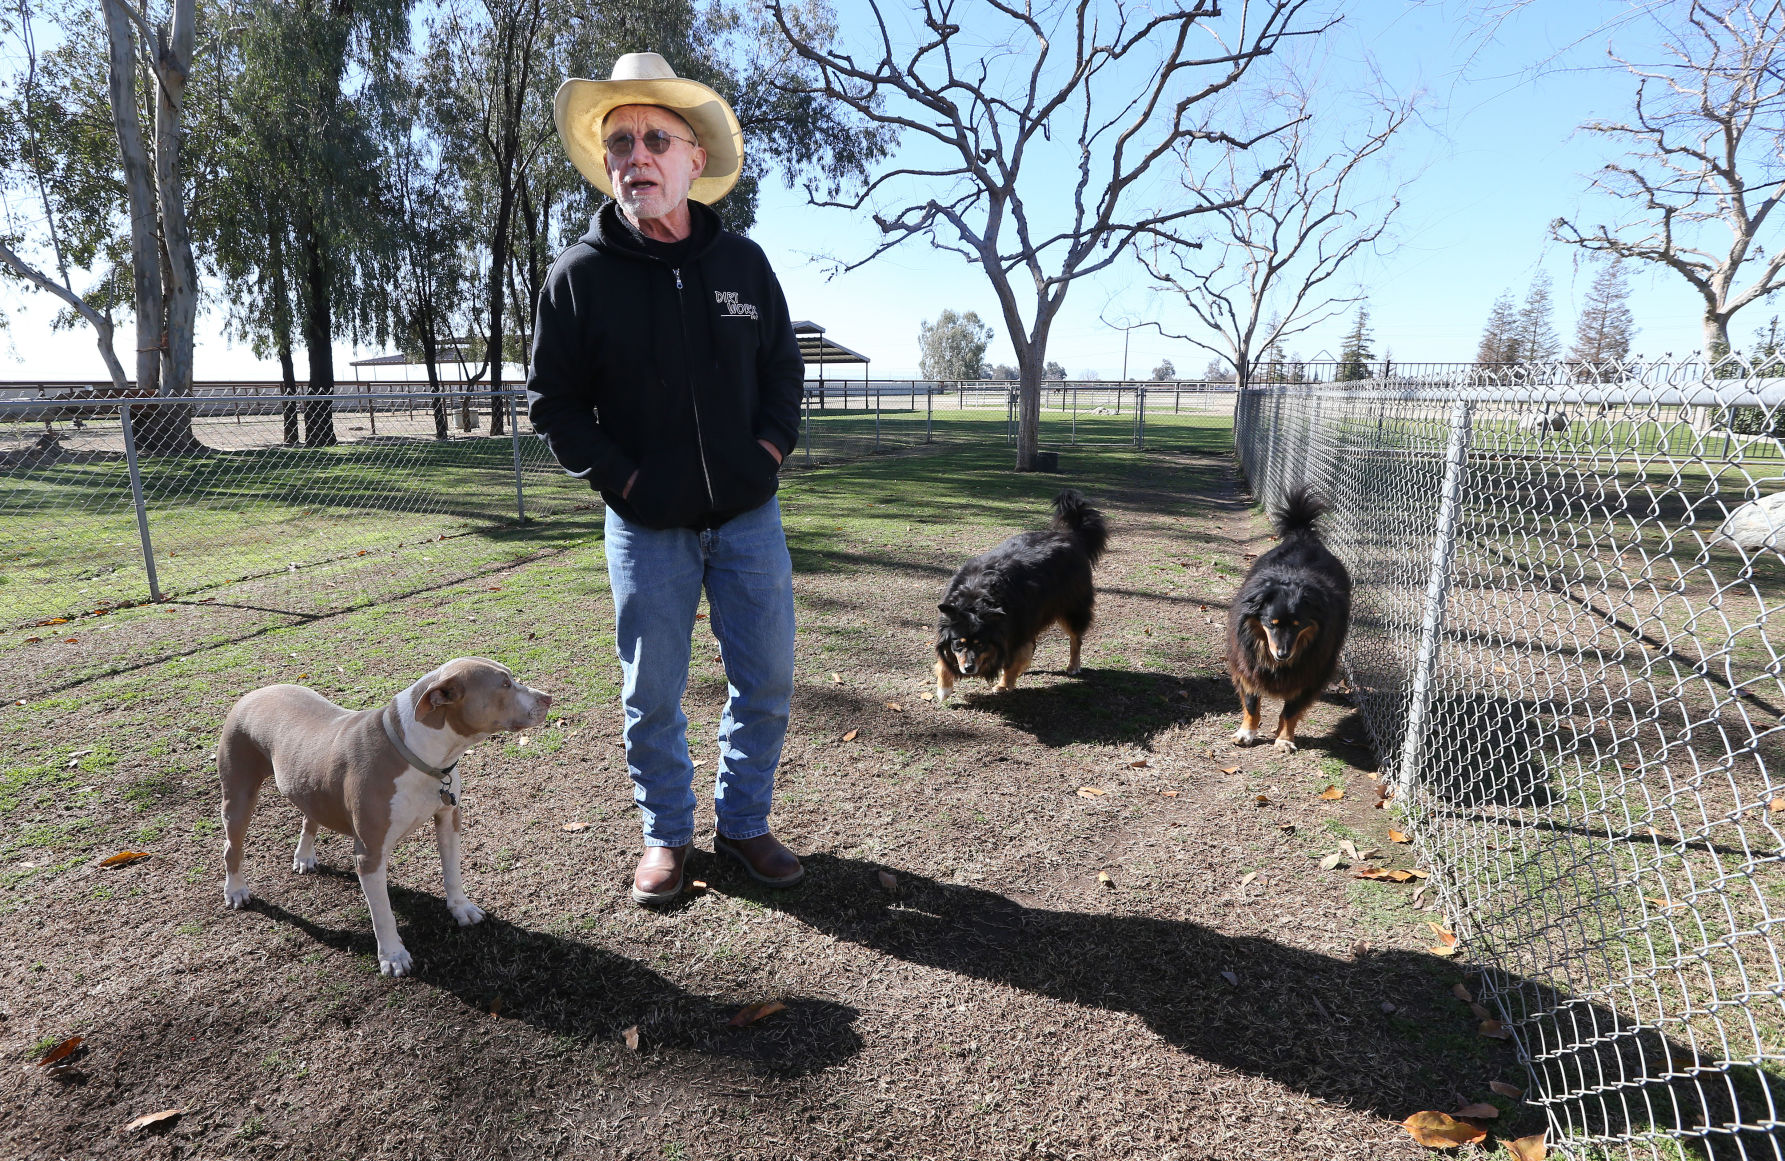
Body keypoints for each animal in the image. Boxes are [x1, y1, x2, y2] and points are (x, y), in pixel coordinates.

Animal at [217, 657, 549, 971]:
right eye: (504, 684)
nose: (547, 697)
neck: (419, 753)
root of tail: (253, 693)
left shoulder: (448, 818)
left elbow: (452, 872)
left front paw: (461, 909)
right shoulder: (370, 854)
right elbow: (383, 914)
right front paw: (393, 955)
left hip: (309, 782)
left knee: (309, 815)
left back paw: (304, 856)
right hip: (239, 796)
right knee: (232, 849)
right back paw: (236, 890)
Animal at [935, 485, 1099, 696]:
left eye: (981, 644)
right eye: (959, 643)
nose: (969, 668)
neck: (975, 595)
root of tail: (1071, 536)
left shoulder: (1016, 631)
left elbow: (1012, 661)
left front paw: (1004, 684)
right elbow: (943, 660)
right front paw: (944, 687)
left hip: (1071, 606)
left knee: (1075, 638)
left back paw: (1073, 665)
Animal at [1228, 485, 1349, 750]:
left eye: (1298, 625)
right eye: (1270, 624)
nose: (1283, 654)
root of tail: (1303, 536)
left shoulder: (1311, 672)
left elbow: (1291, 710)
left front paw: (1284, 739)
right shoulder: (1247, 664)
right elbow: (1251, 703)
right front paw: (1246, 733)